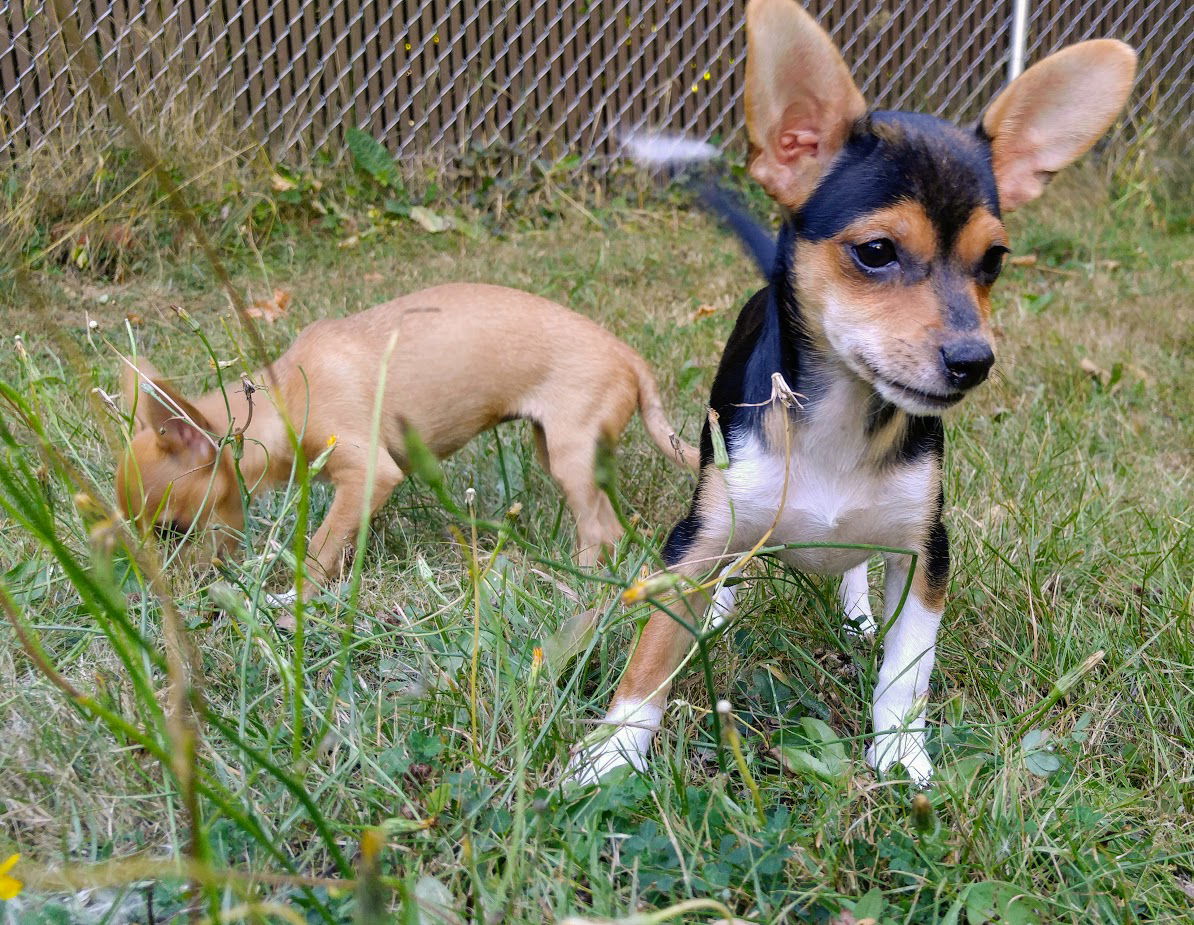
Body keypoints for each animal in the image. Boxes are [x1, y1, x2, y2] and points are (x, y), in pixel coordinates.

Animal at [116, 281, 697, 587]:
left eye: (169, 532)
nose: (154, 585)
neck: (285, 399)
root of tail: (631, 357)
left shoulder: (369, 474)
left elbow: (321, 544)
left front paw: (296, 600)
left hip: (571, 458)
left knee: (597, 531)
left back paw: (573, 585)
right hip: (555, 448)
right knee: (610, 527)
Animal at [573, 0, 1131, 782]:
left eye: (994, 260)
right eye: (875, 252)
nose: (973, 360)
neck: (842, 418)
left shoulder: (928, 551)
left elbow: (908, 668)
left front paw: (899, 753)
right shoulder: (694, 538)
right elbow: (652, 652)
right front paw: (612, 755)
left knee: (856, 566)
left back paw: (858, 612)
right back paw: (720, 606)